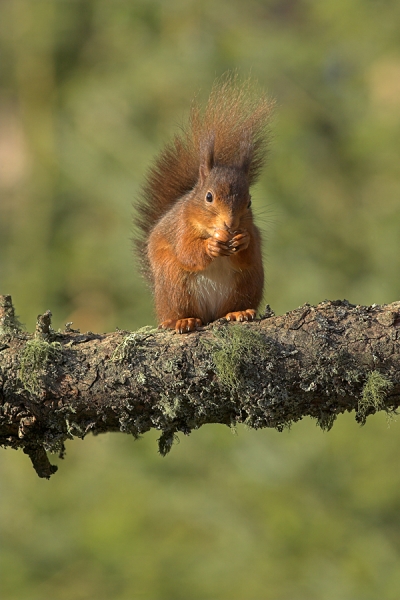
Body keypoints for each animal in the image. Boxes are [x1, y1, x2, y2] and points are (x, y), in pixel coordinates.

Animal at [134, 75, 272, 332]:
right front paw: (211, 246)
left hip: (247, 282)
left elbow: (249, 254)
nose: (231, 224)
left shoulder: (253, 232)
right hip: (175, 284)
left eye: (249, 202)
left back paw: (239, 312)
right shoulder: (181, 228)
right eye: (208, 197)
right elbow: (187, 252)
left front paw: (242, 240)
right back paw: (182, 320)